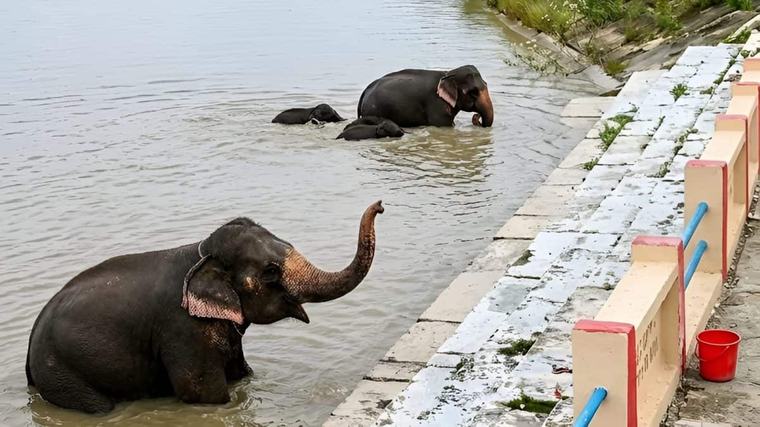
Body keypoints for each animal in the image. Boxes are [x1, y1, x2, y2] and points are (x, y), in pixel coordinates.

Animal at [26, 201, 384, 413]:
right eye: (270, 271)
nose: (380, 206)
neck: (200, 253)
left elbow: (242, 374)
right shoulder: (183, 328)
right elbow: (203, 395)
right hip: (63, 372)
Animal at [357, 65, 494, 128]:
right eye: (473, 92)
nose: (476, 116)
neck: (448, 74)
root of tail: (365, 91)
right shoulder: (436, 105)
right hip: (374, 110)